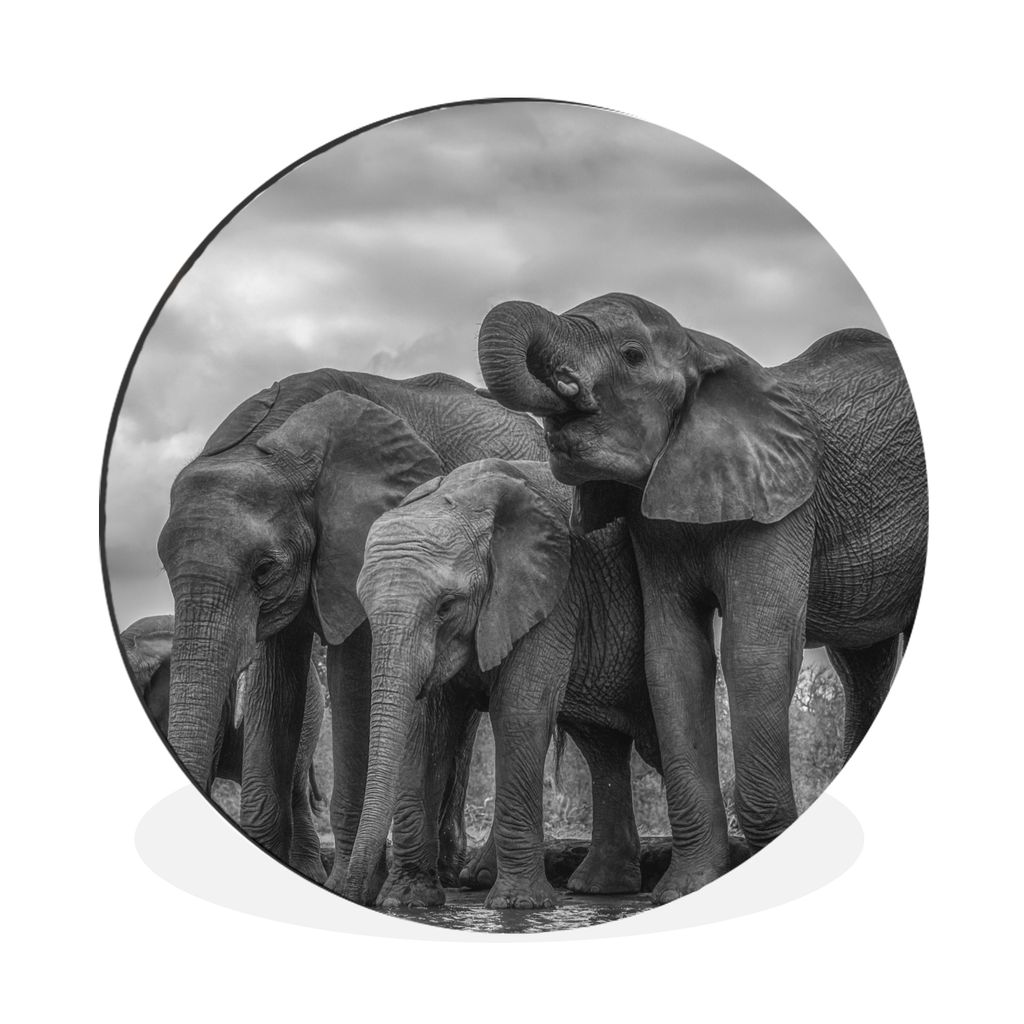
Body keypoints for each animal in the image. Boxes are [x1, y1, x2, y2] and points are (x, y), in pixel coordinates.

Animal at [156, 369, 545, 894]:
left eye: (264, 569)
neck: (273, 443)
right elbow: (276, 691)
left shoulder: (365, 540)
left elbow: (354, 685)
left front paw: (346, 884)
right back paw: (449, 872)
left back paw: (471, 876)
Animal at [342, 458, 660, 909]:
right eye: (364, 606)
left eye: (445, 606)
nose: (354, 896)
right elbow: (424, 727)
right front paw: (407, 901)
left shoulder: (555, 592)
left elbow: (518, 711)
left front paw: (518, 905)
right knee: (601, 745)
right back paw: (599, 887)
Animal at [477, 292, 927, 904]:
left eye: (632, 355)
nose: (567, 385)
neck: (701, 345)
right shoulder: (653, 519)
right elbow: (673, 660)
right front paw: (683, 889)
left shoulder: (784, 498)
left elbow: (754, 650)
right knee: (862, 665)